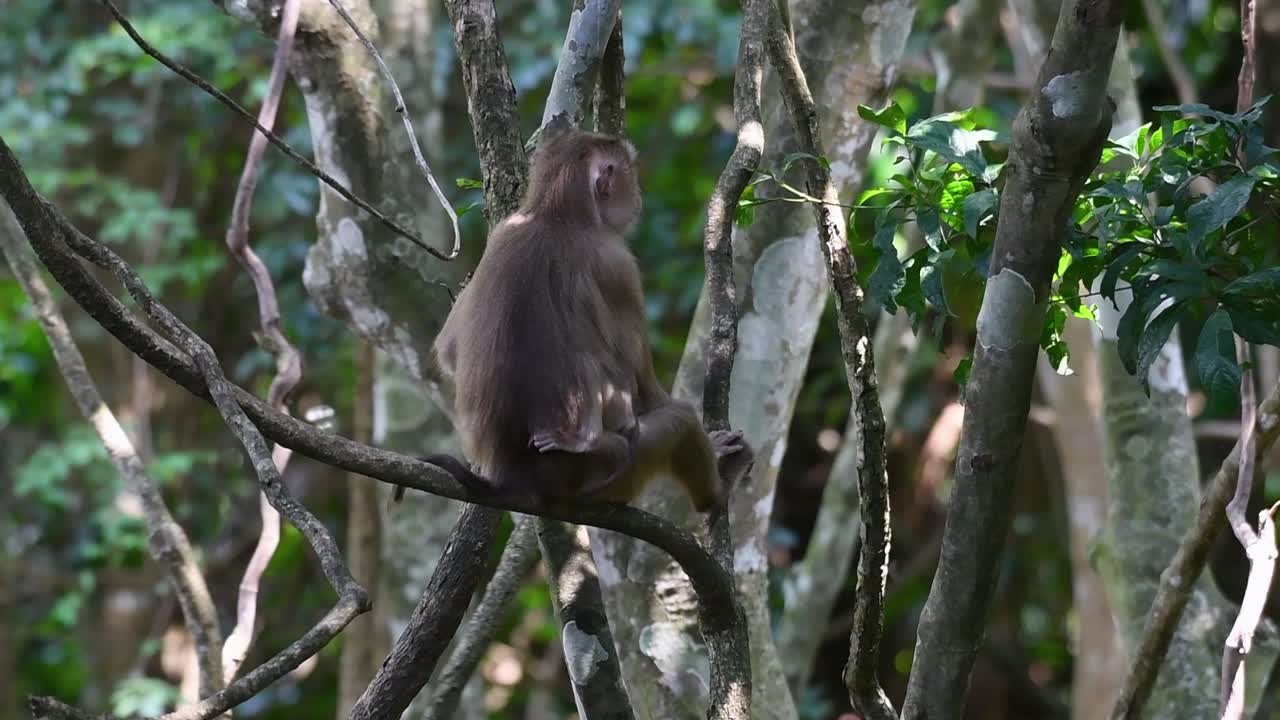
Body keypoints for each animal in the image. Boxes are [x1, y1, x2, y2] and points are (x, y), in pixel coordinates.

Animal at [419, 126, 751, 512]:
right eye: (628, 174)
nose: (638, 197)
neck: (554, 215)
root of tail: (515, 474)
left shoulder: (504, 229)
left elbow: (448, 351)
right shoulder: (619, 263)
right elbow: (644, 384)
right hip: (611, 477)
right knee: (676, 421)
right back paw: (717, 491)